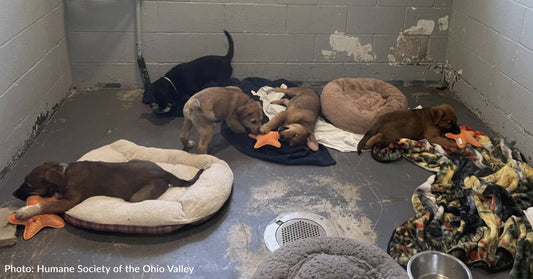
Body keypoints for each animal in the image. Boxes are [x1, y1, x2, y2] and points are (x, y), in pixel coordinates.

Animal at [13, 161, 204, 220]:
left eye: (28, 185)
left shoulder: (69, 201)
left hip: (139, 196)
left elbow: (46, 205)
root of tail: (163, 171)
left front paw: (24, 211)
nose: (13, 193)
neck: (64, 174)